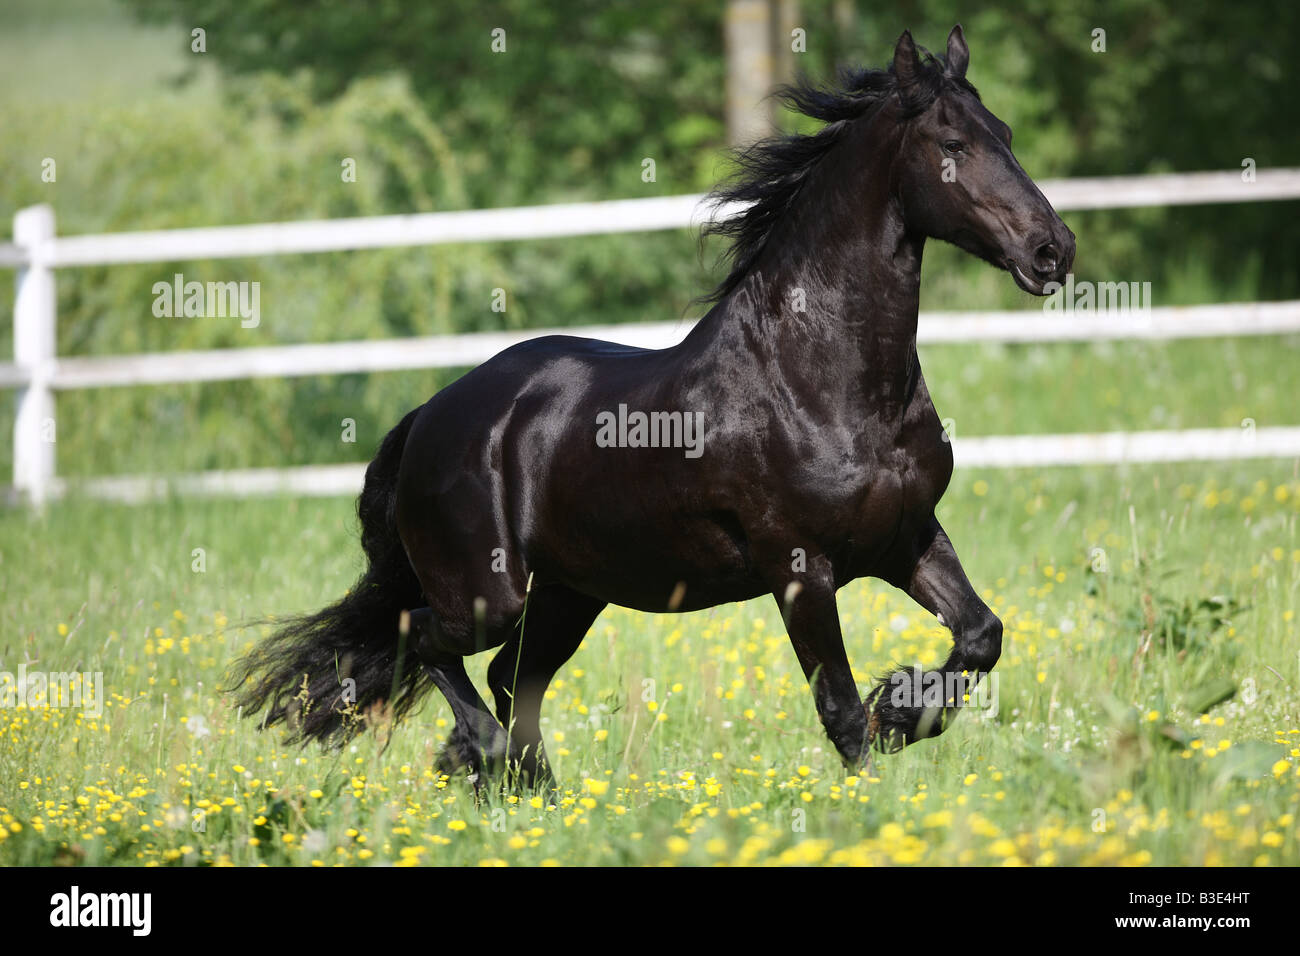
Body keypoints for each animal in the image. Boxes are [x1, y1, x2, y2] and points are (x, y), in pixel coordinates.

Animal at [227, 25, 1075, 788]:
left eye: (1004, 134)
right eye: (951, 143)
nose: (1053, 250)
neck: (825, 382)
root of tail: (428, 417)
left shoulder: (907, 536)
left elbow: (982, 634)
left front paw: (902, 711)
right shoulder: (800, 566)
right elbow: (837, 706)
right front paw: (875, 790)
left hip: (571, 591)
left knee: (509, 678)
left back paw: (535, 793)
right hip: (488, 593)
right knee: (429, 643)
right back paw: (493, 764)